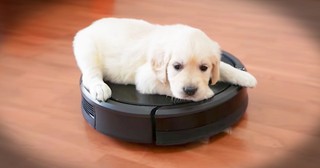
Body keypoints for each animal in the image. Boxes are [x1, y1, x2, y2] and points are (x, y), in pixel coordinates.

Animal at [73, 18, 258, 102]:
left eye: (204, 68)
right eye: (176, 66)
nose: (190, 90)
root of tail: (87, 27)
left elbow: (224, 67)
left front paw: (244, 76)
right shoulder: (146, 79)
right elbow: (169, 87)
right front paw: (205, 93)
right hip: (88, 51)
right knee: (91, 76)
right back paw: (100, 87)